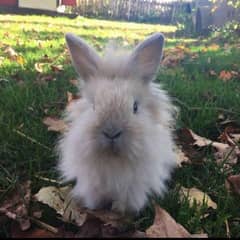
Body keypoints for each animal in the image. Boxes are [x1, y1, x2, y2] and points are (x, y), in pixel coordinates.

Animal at [57, 32, 177, 214]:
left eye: (135, 107)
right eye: (93, 106)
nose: (111, 132)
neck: (113, 160)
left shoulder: (134, 187)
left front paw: (121, 211)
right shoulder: (92, 183)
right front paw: (95, 207)